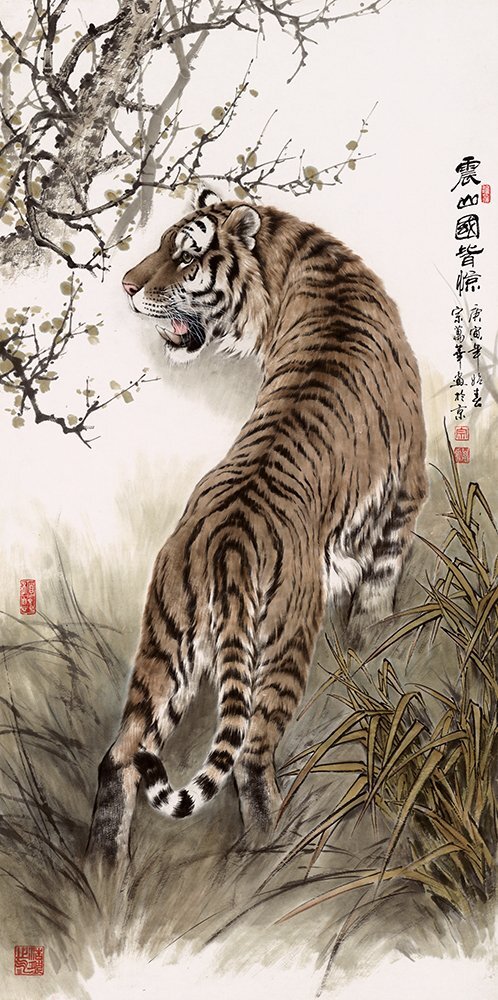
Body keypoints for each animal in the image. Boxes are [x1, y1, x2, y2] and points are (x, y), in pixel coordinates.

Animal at [87, 187, 427, 863]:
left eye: (184, 255)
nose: (127, 286)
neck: (294, 255)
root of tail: (227, 544)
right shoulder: (405, 491)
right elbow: (377, 596)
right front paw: (375, 648)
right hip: (284, 642)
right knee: (248, 760)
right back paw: (271, 861)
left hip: (165, 643)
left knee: (122, 757)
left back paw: (107, 872)